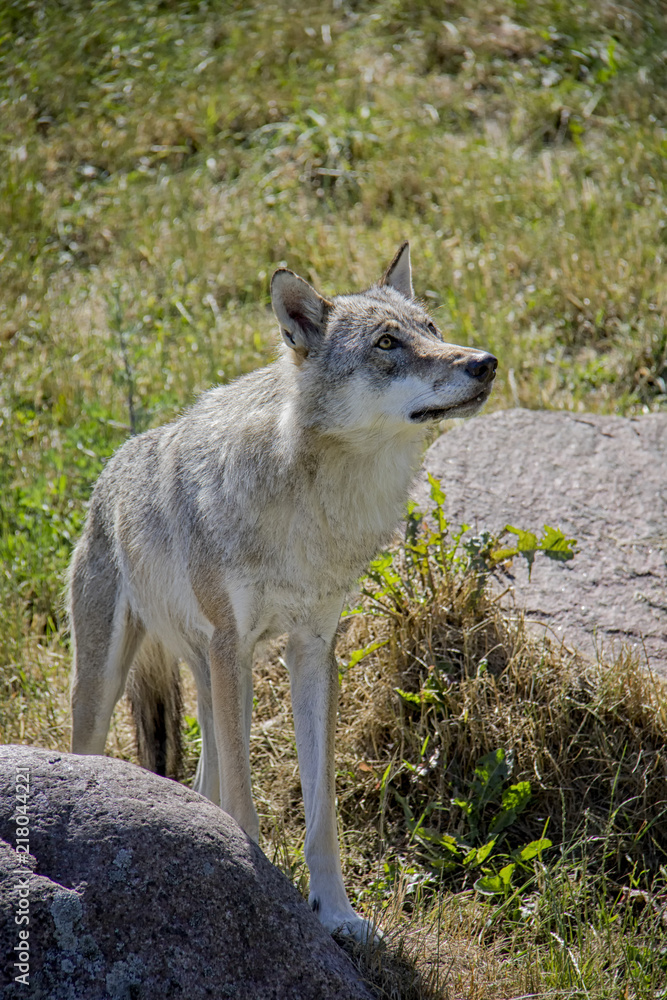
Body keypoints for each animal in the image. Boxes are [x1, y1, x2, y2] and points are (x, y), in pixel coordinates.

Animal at [69, 242, 496, 936]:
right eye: (386, 343)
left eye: (432, 329)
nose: (484, 362)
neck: (313, 507)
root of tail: (109, 472)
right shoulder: (234, 644)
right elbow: (247, 802)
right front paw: (259, 883)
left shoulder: (313, 649)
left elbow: (321, 811)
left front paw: (336, 914)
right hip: (116, 685)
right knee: (108, 754)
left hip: (212, 675)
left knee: (206, 778)